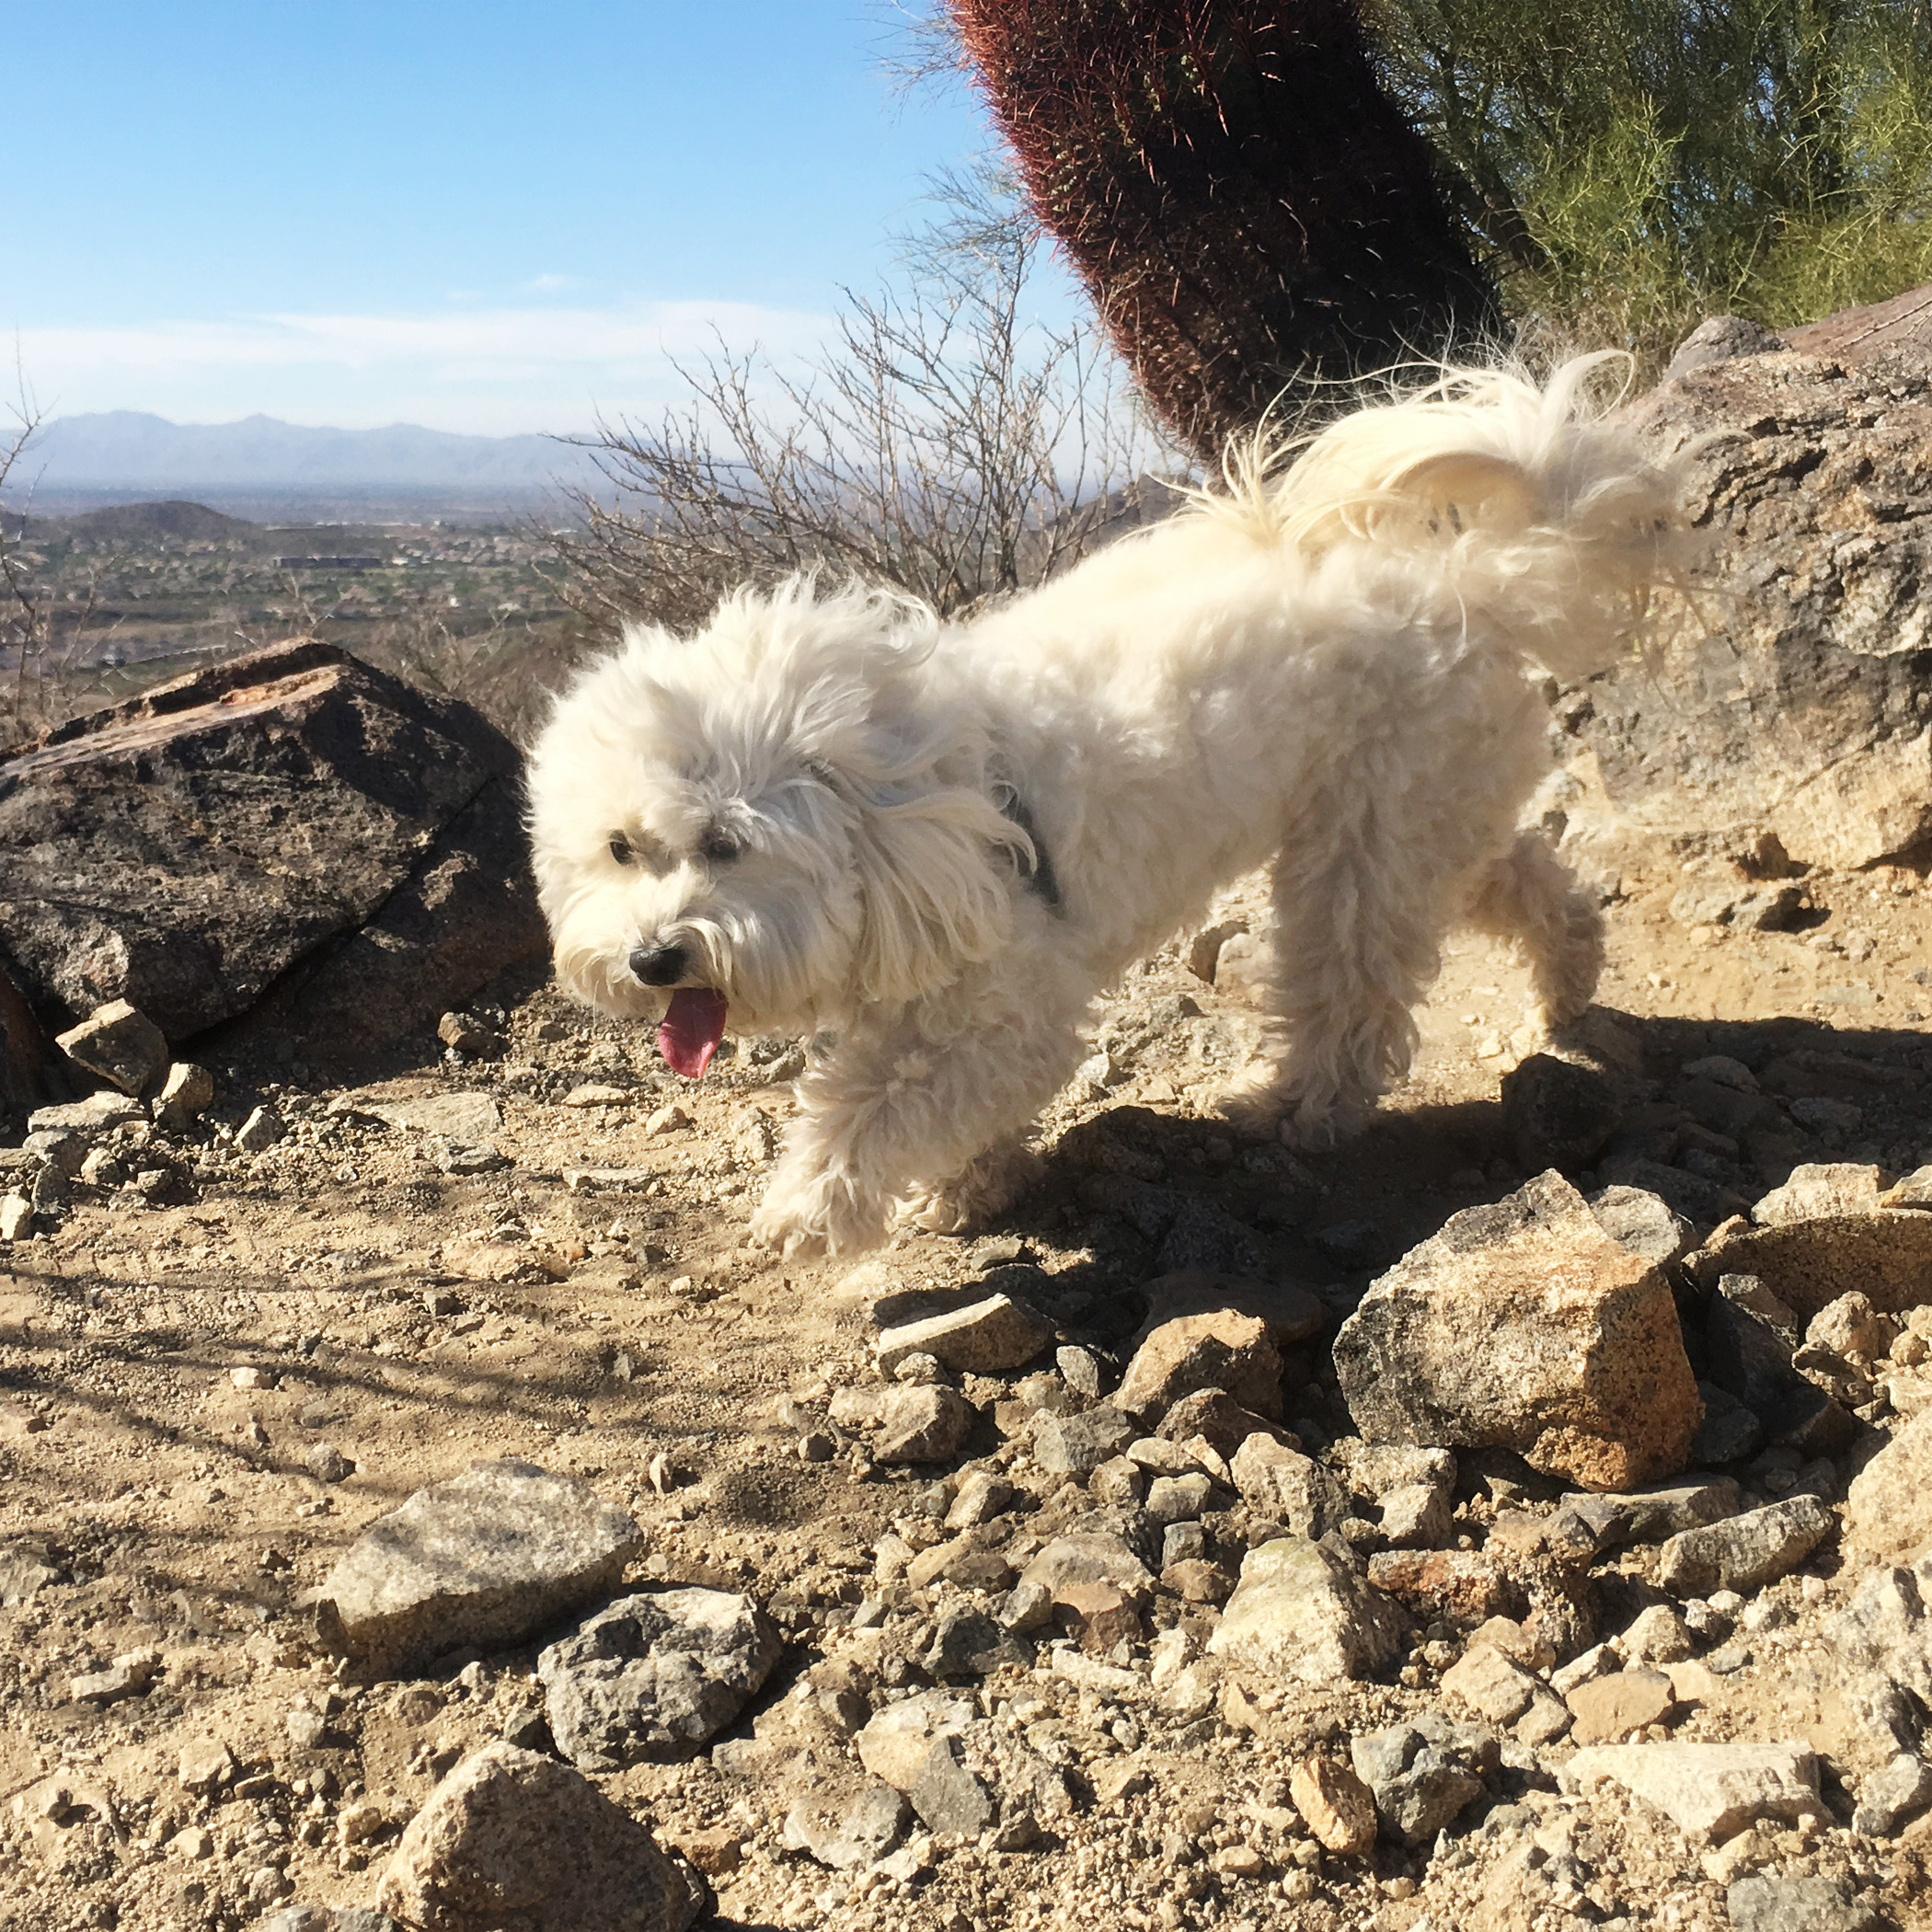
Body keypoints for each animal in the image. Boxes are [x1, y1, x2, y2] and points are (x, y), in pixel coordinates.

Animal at [525, 355, 1676, 1259]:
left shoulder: (1003, 1010)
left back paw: (1296, 1104)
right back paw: (1565, 987)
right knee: (1522, 878)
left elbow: (879, 1105)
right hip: (1424, 810)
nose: (651, 961)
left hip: (1365, 843)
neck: (914, 806)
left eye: (727, 843)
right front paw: (969, 1185)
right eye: (621, 849)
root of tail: (1471, 582)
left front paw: (808, 1211)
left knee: (1353, 989)